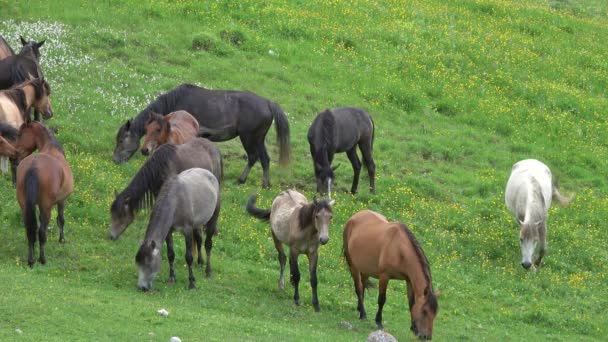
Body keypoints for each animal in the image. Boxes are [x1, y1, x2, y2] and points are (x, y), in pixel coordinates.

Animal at [14, 121, 73, 268]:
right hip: (46, 206)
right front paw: (62, 240)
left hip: (25, 206)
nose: (14, 154)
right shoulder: (61, 201)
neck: (52, 148)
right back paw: (42, 259)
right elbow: (61, 219)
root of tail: (34, 166)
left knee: (30, 229)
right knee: (41, 232)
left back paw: (31, 260)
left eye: (20, 134)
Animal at [113, 84, 290, 188]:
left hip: (249, 138)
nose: (115, 160)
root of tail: (268, 103)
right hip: (258, 139)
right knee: (265, 159)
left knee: (254, 157)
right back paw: (264, 184)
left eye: (122, 140)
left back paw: (243, 181)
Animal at [344, 208, 440, 340]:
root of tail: (354, 216)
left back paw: (359, 309)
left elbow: (411, 303)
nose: (426, 337)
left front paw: (413, 328)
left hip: (365, 269)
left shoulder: (409, 281)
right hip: (353, 265)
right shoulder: (384, 276)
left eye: (435, 313)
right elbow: (382, 299)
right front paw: (379, 322)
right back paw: (363, 314)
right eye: (425, 311)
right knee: (358, 288)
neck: (399, 249)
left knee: (362, 286)